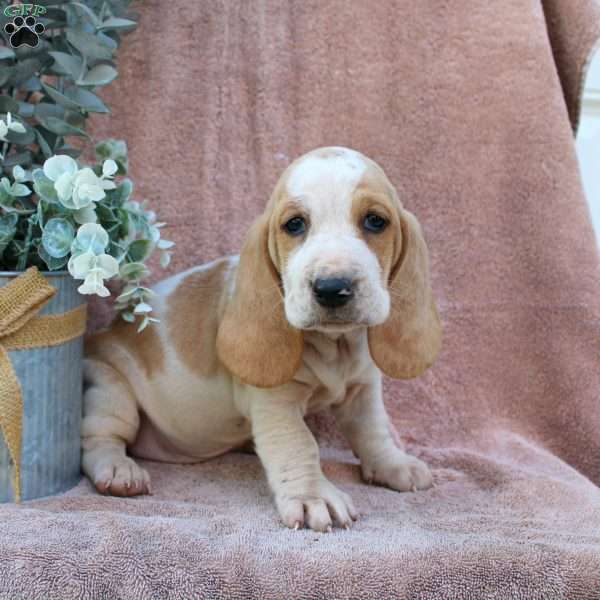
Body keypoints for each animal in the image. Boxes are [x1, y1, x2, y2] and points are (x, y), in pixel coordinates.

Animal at [82, 148, 442, 532]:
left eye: (375, 221)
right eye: (295, 225)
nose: (332, 288)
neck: (336, 345)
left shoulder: (363, 389)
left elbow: (373, 430)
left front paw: (393, 464)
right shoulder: (276, 403)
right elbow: (299, 444)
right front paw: (314, 495)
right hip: (110, 389)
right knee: (99, 439)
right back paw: (119, 470)